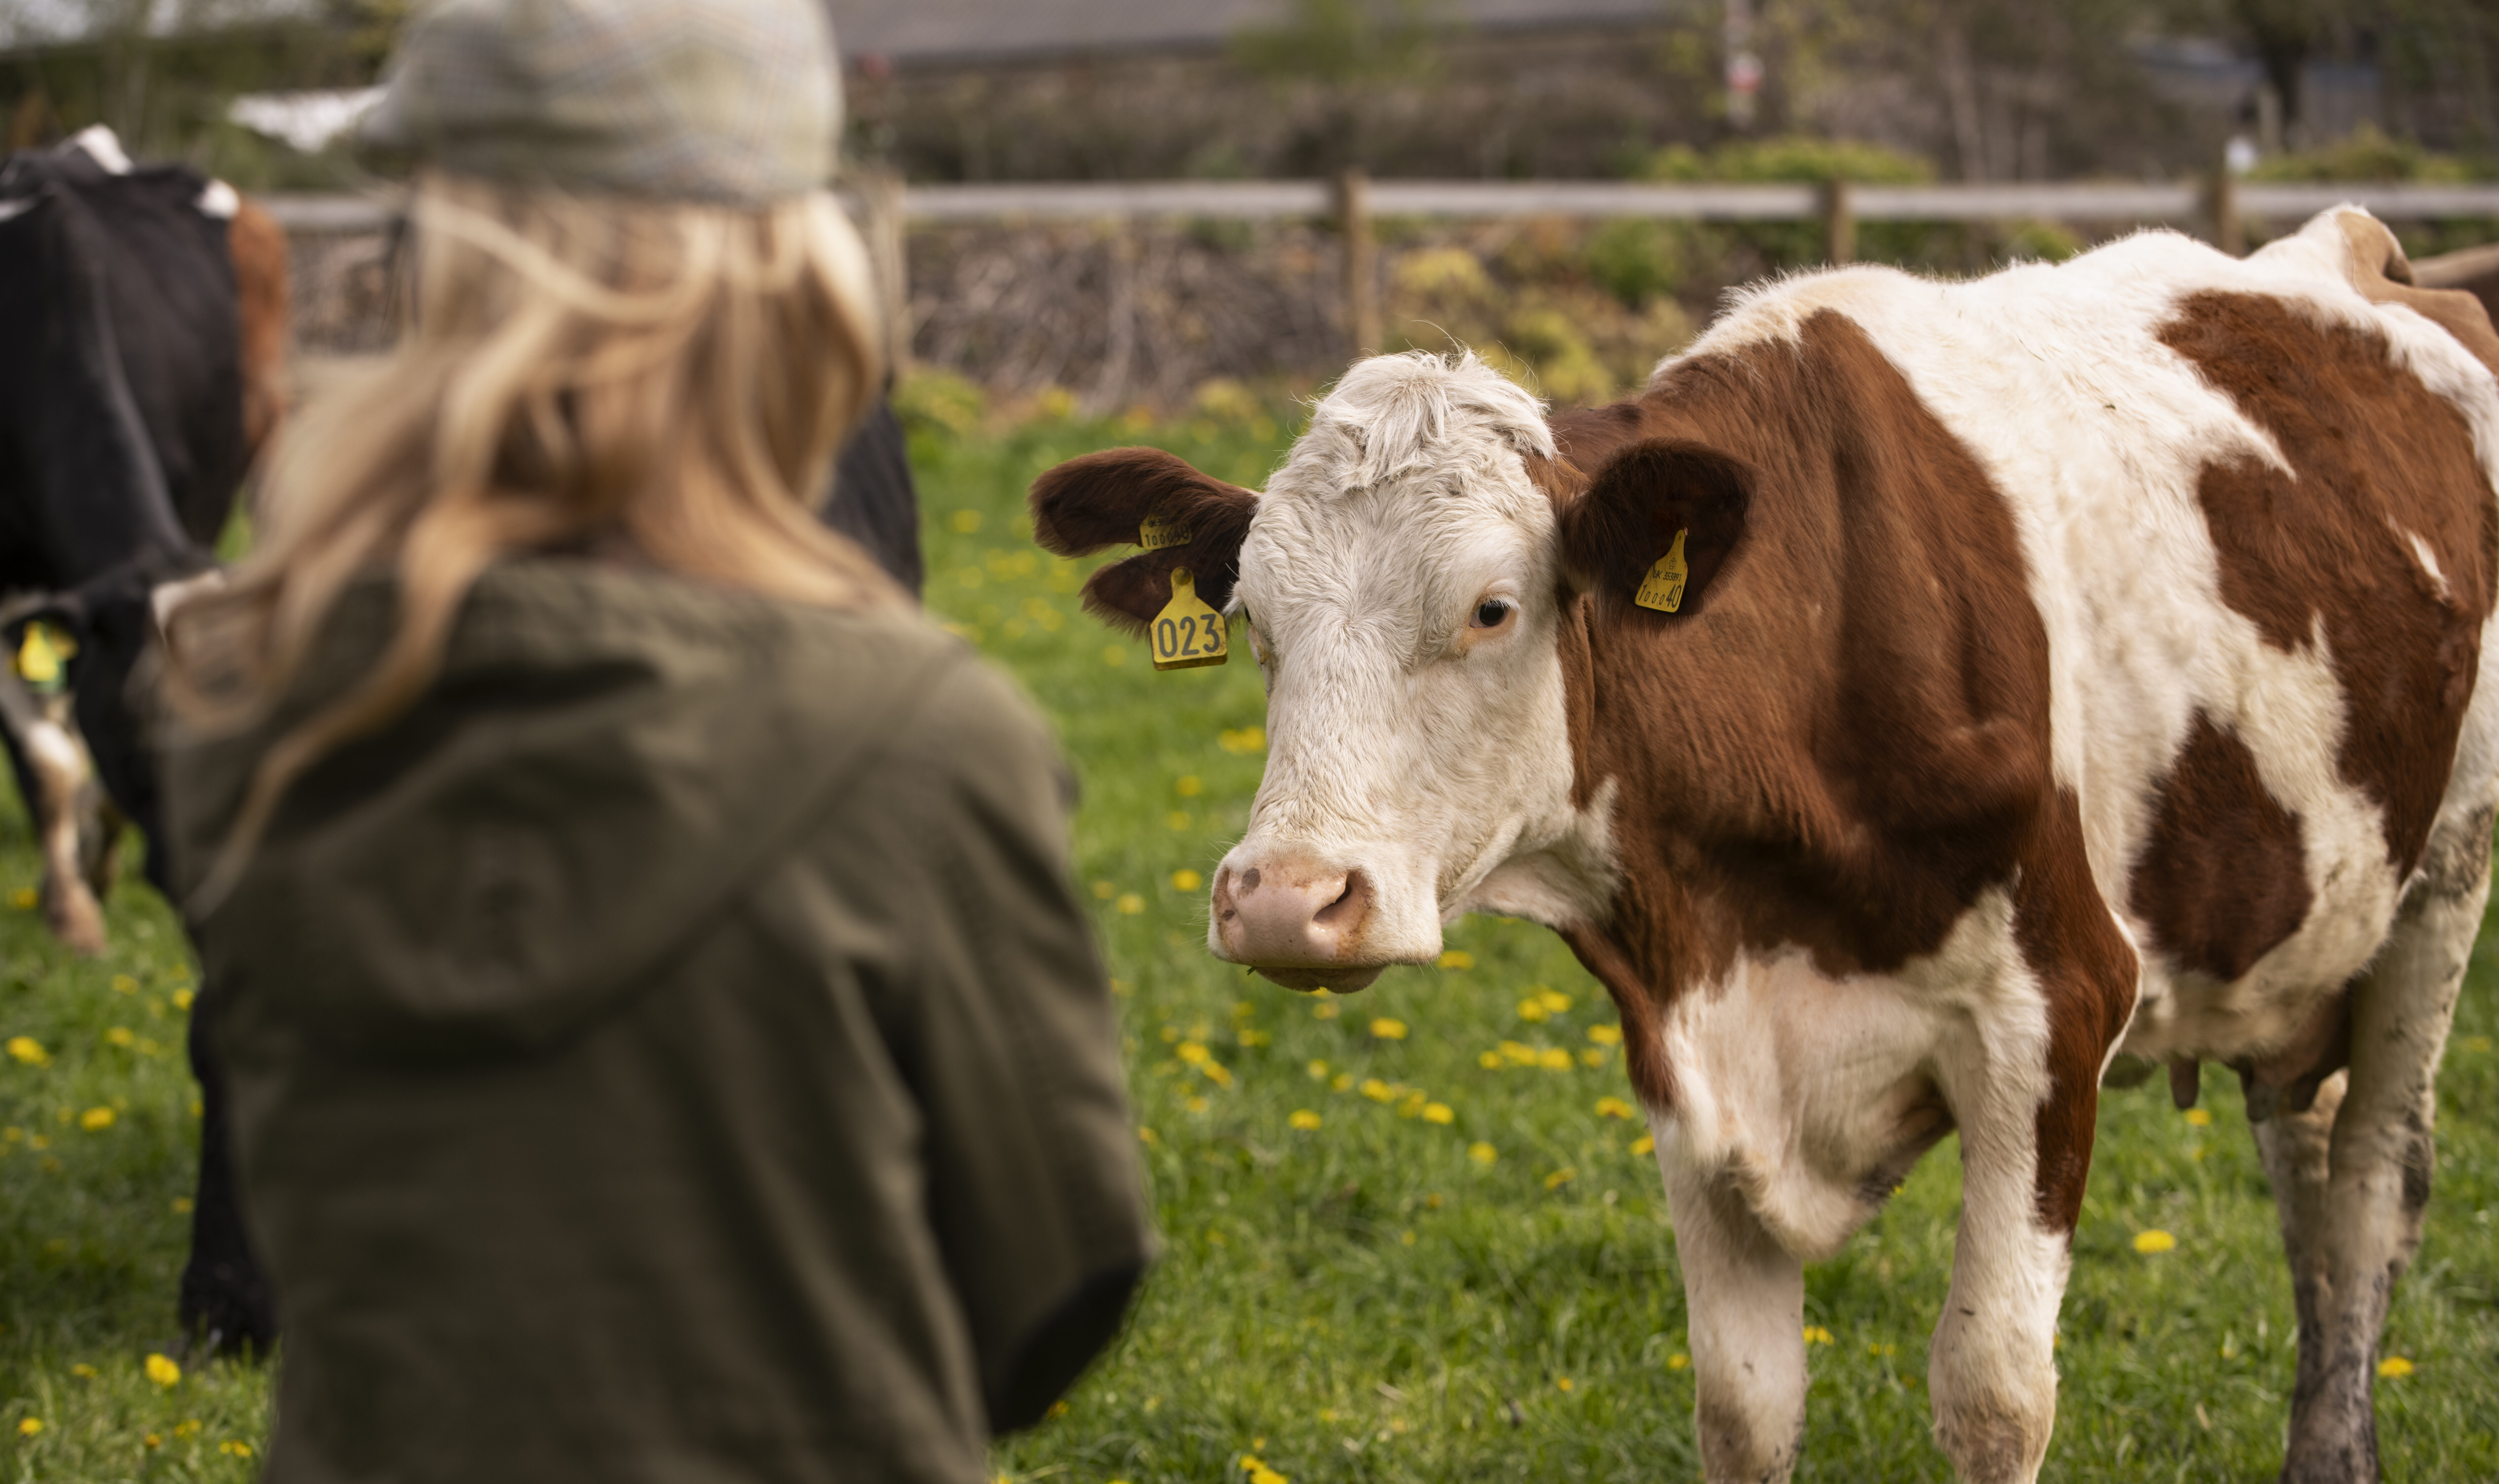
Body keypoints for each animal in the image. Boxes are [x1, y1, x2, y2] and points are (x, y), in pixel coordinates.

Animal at [1029, 211, 2499, 1479]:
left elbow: (1992, 1391)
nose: (1285, 898)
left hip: (2440, 883)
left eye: (1492, 608)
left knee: (2369, 1185)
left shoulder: (2055, 1008)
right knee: (2304, 1162)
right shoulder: (1686, 1039)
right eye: (1252, 621)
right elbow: (1742, 1404)